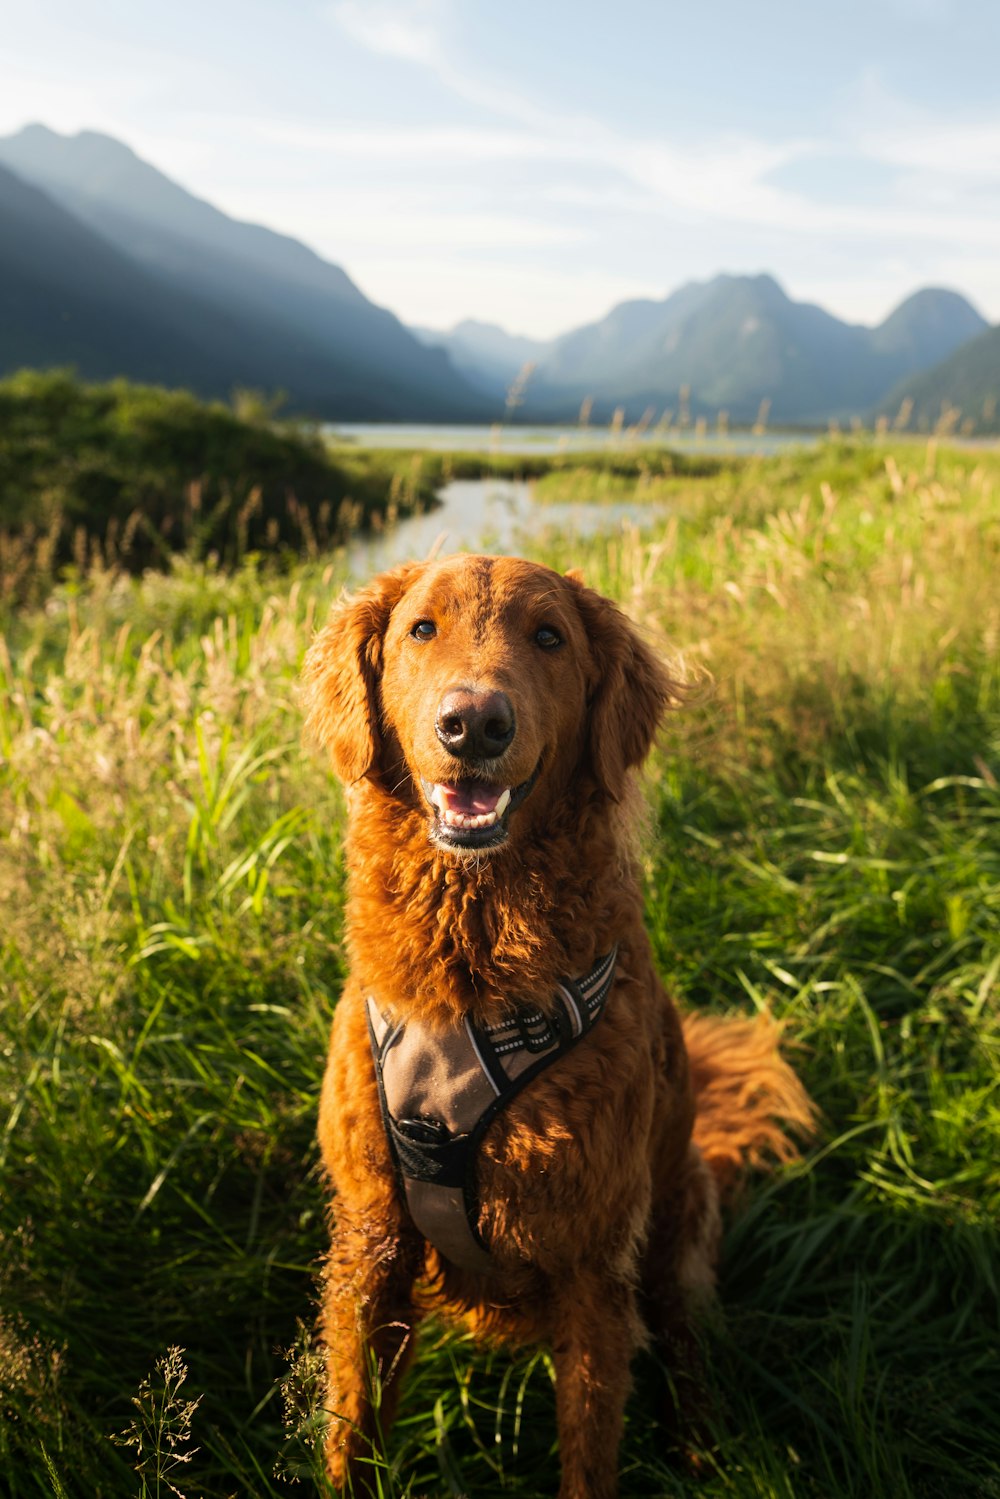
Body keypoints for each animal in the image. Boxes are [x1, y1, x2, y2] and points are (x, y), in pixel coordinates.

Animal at [301, 554, 815, 1499]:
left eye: (549, 636)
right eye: (421, 629)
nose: (474, 723)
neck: (473, 975)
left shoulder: (594, 1266)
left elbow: (590, 1446)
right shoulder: (370, 1241)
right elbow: (352, 1432)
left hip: (673, 1224)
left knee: (682, 1340)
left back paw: (701, 1450)